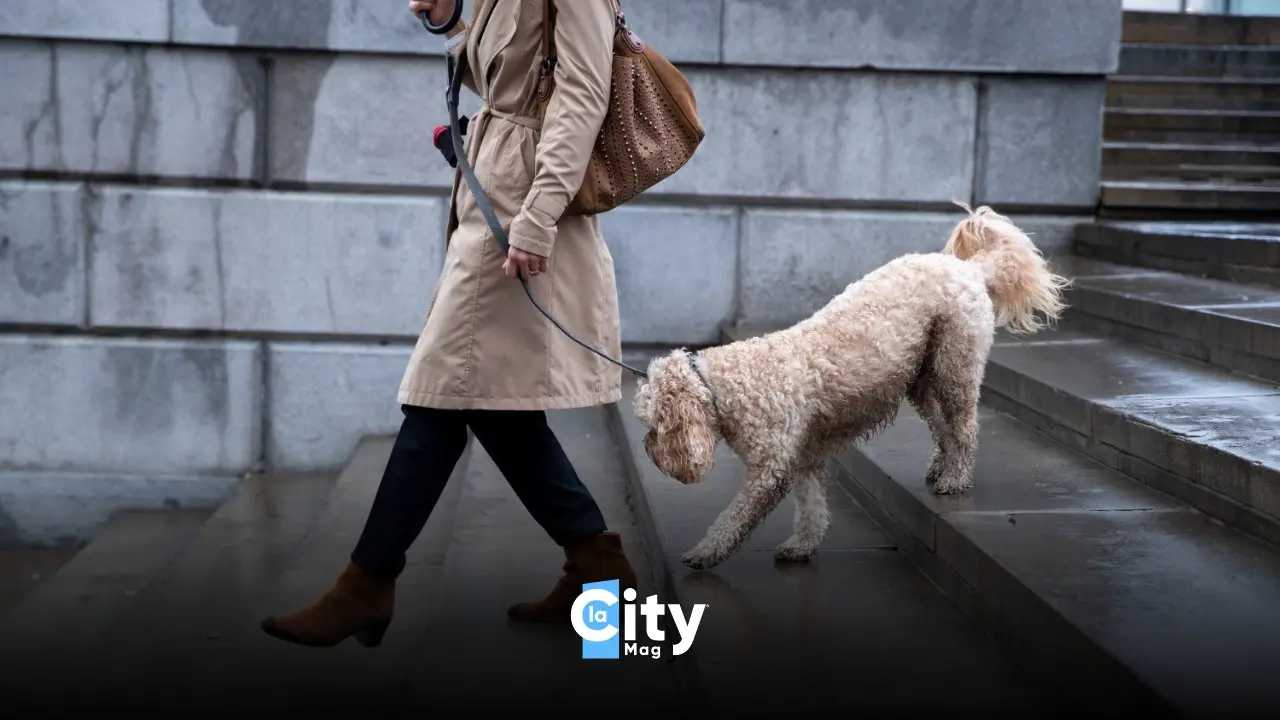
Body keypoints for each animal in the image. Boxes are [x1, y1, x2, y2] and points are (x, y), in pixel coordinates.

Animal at [632, 204, 1070, 568]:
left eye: (654, 424)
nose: (649, 450)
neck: (724, 386)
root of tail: (972, 269)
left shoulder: (770, 469)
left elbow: (733, 518)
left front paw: (705, 552)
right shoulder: (802, 458)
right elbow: (811, 507)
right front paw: (802, 546)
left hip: (955, 365)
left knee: (964, 428)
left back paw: (955, 477)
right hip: (921, 381)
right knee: (942, 428)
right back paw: (939, 467)